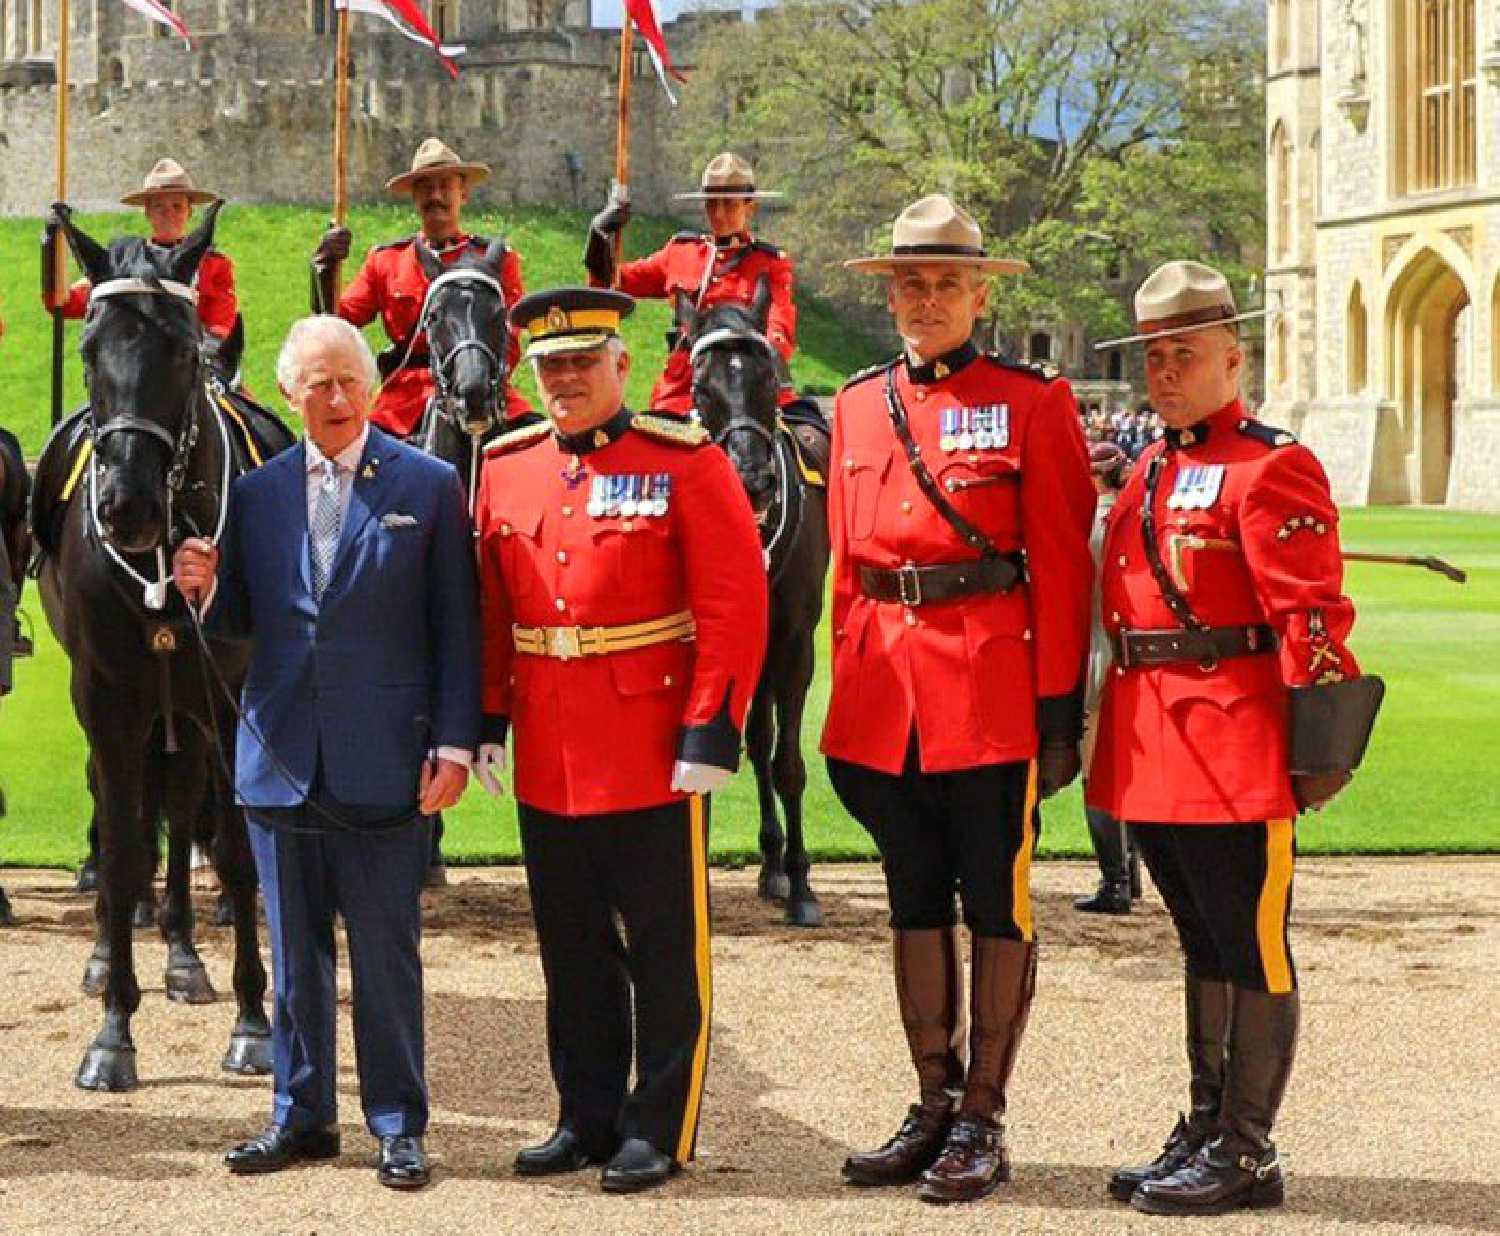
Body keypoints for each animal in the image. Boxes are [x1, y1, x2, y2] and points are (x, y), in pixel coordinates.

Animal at [32, 205, 288, 1092]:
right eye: (87, 348)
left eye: (180, 350)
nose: (129, 506)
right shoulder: (107, 698)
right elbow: (119, 848)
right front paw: (113, 1031)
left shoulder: (231, 700)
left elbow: (237, 851)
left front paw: (253, 1019)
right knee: (137, 820)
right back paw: (116, 954)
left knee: (179, 810)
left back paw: (182, 953)